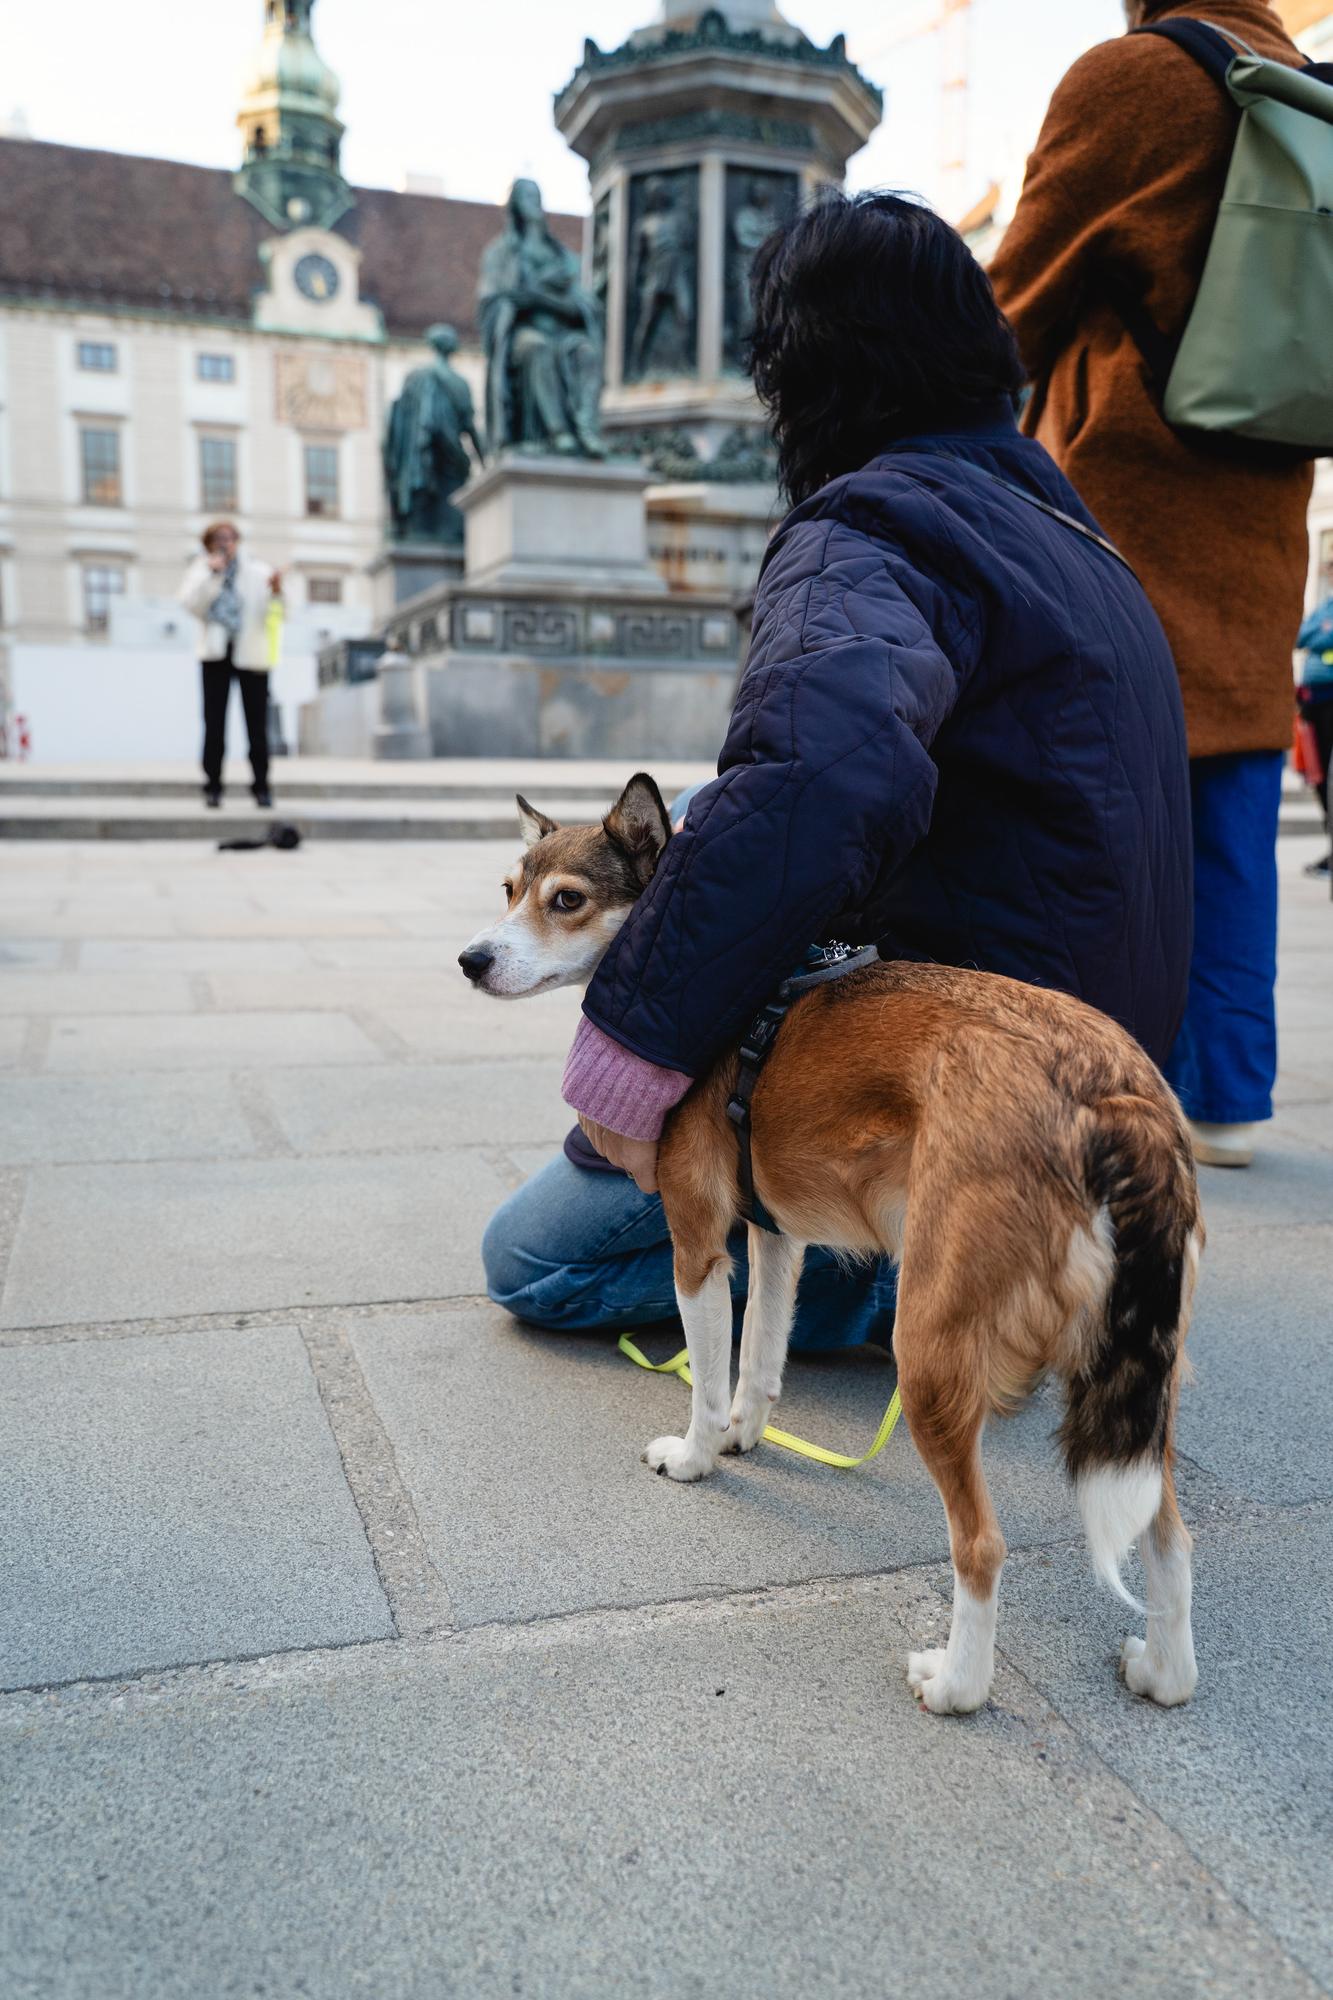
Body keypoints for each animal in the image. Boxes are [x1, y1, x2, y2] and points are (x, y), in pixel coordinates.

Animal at [460, 774, 1203, 1715]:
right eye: (508, 891)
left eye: (567, 901)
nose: (471, 960)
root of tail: (1112, 1091)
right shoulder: (776, 1237)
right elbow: (759, 1357)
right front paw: (743, 1434)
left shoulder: (698, 1243)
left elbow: (709, 1374)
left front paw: (698, 1456)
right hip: (1134, 1375)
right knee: (1166, 1534)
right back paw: (1164, 1673)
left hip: (929, 1352)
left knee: (981, 1547)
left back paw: (956, 1685)